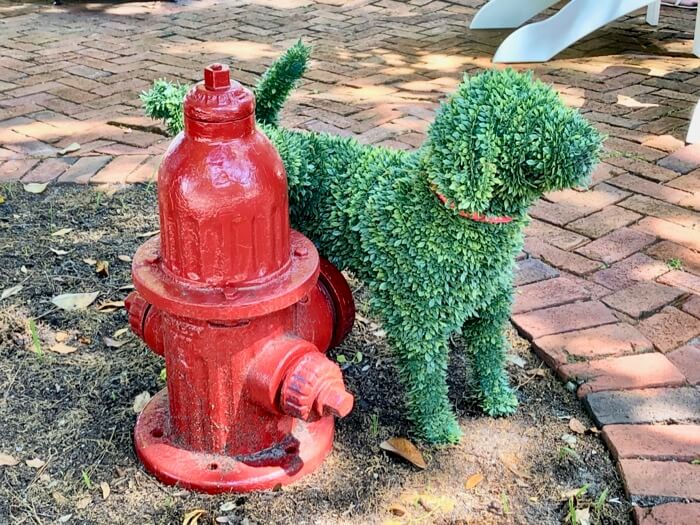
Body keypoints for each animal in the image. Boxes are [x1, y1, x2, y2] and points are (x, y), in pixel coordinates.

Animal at [141, 43, 600, 440]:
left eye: (552, 103)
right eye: (531, 123)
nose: (592, 142)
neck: (450, 212)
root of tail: (269, 130)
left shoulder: (491, 306)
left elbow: (489, 356)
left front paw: (497, 398)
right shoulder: (418, 320)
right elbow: (427, 381)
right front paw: (438, 428)